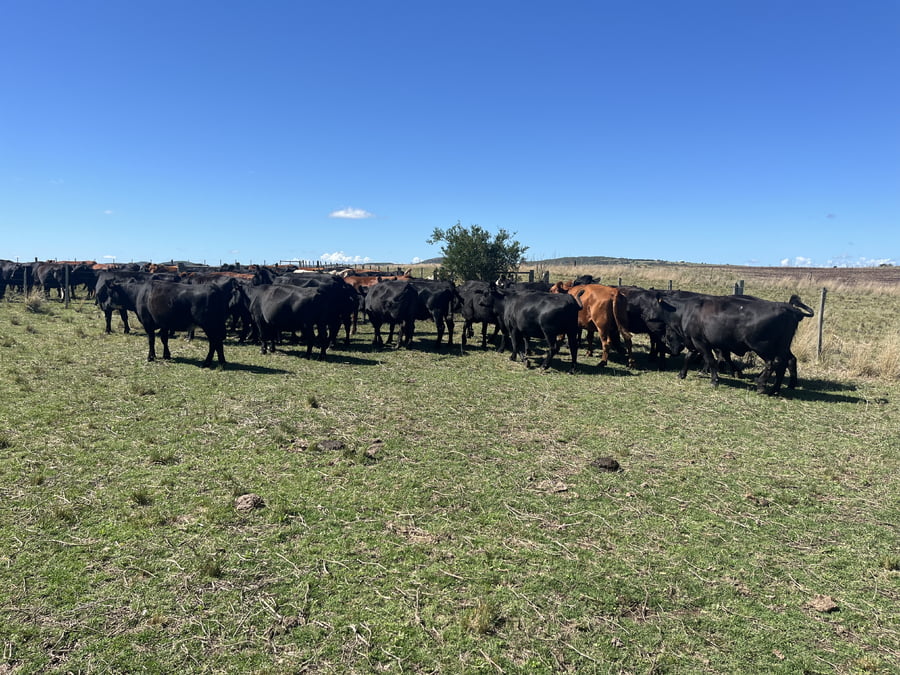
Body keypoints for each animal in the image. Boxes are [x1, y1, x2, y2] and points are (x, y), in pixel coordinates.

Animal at [106, 279, 235, 367]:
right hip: (216, 325)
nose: (106, 305)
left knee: (214, 342)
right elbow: (164, 339)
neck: (139, 293)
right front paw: (166, 355)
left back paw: (207, 362)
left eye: (110, 293)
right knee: (219, 341)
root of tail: (214, 287)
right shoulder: (164, 324)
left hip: (209, 325)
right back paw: (222, 361)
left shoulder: (148, 323)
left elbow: (151, 340)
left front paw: (150, 357)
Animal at [654, 292, 814, 394]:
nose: (674, 352)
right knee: (787, 361)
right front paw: (682, 374)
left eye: (668, 336)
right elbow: (690, 357)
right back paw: (777, 388)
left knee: (774, 362)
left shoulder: (702, 342)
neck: (686, 311)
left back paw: (762, 384)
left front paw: (714, 379)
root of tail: (789, 308)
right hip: (782, 346)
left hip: (763, 346)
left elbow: (711, 360)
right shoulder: (697, 342)